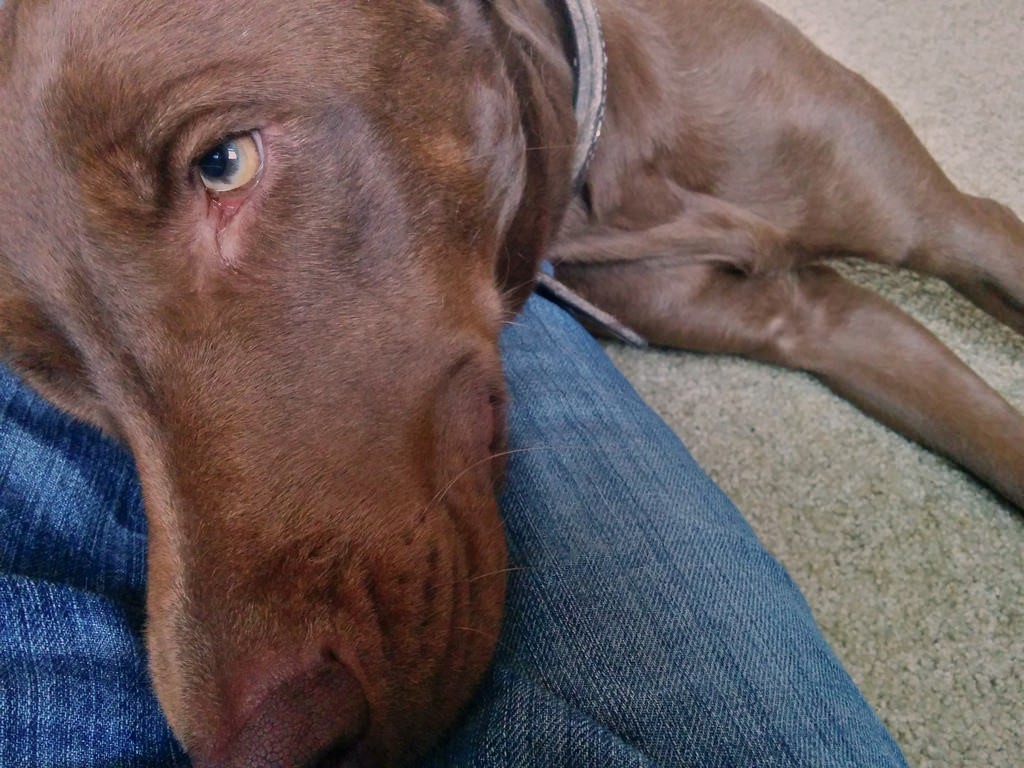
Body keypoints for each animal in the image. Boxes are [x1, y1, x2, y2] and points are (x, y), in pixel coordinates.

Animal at [0, 1, 1019, 768]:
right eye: (54, 375)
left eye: (224, 162)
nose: (274, 749)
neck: (611, 164)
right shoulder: (818, 321)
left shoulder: (961, 227)